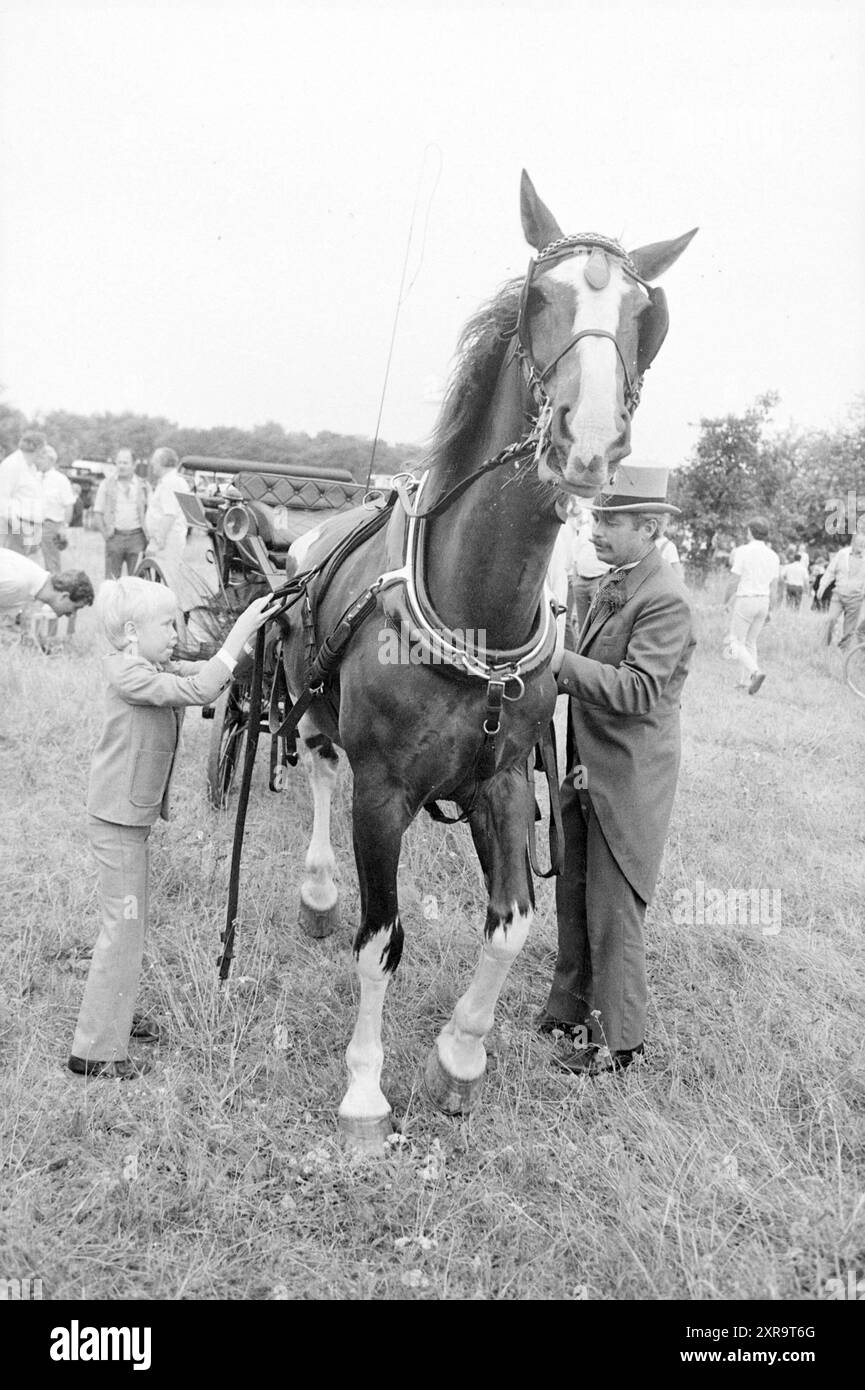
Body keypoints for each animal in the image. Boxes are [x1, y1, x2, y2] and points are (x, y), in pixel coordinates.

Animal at [280, 170, 700, 1150]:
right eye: (540, 298)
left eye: (645, 315)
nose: (588, 442)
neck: (475, 612)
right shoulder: (384, 791)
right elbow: (380, 938)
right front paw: (365, 1093)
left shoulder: (503, 782)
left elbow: (511, 924)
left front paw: (458, 1060)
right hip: (311, 705)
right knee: (317, 769)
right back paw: (317, 891)